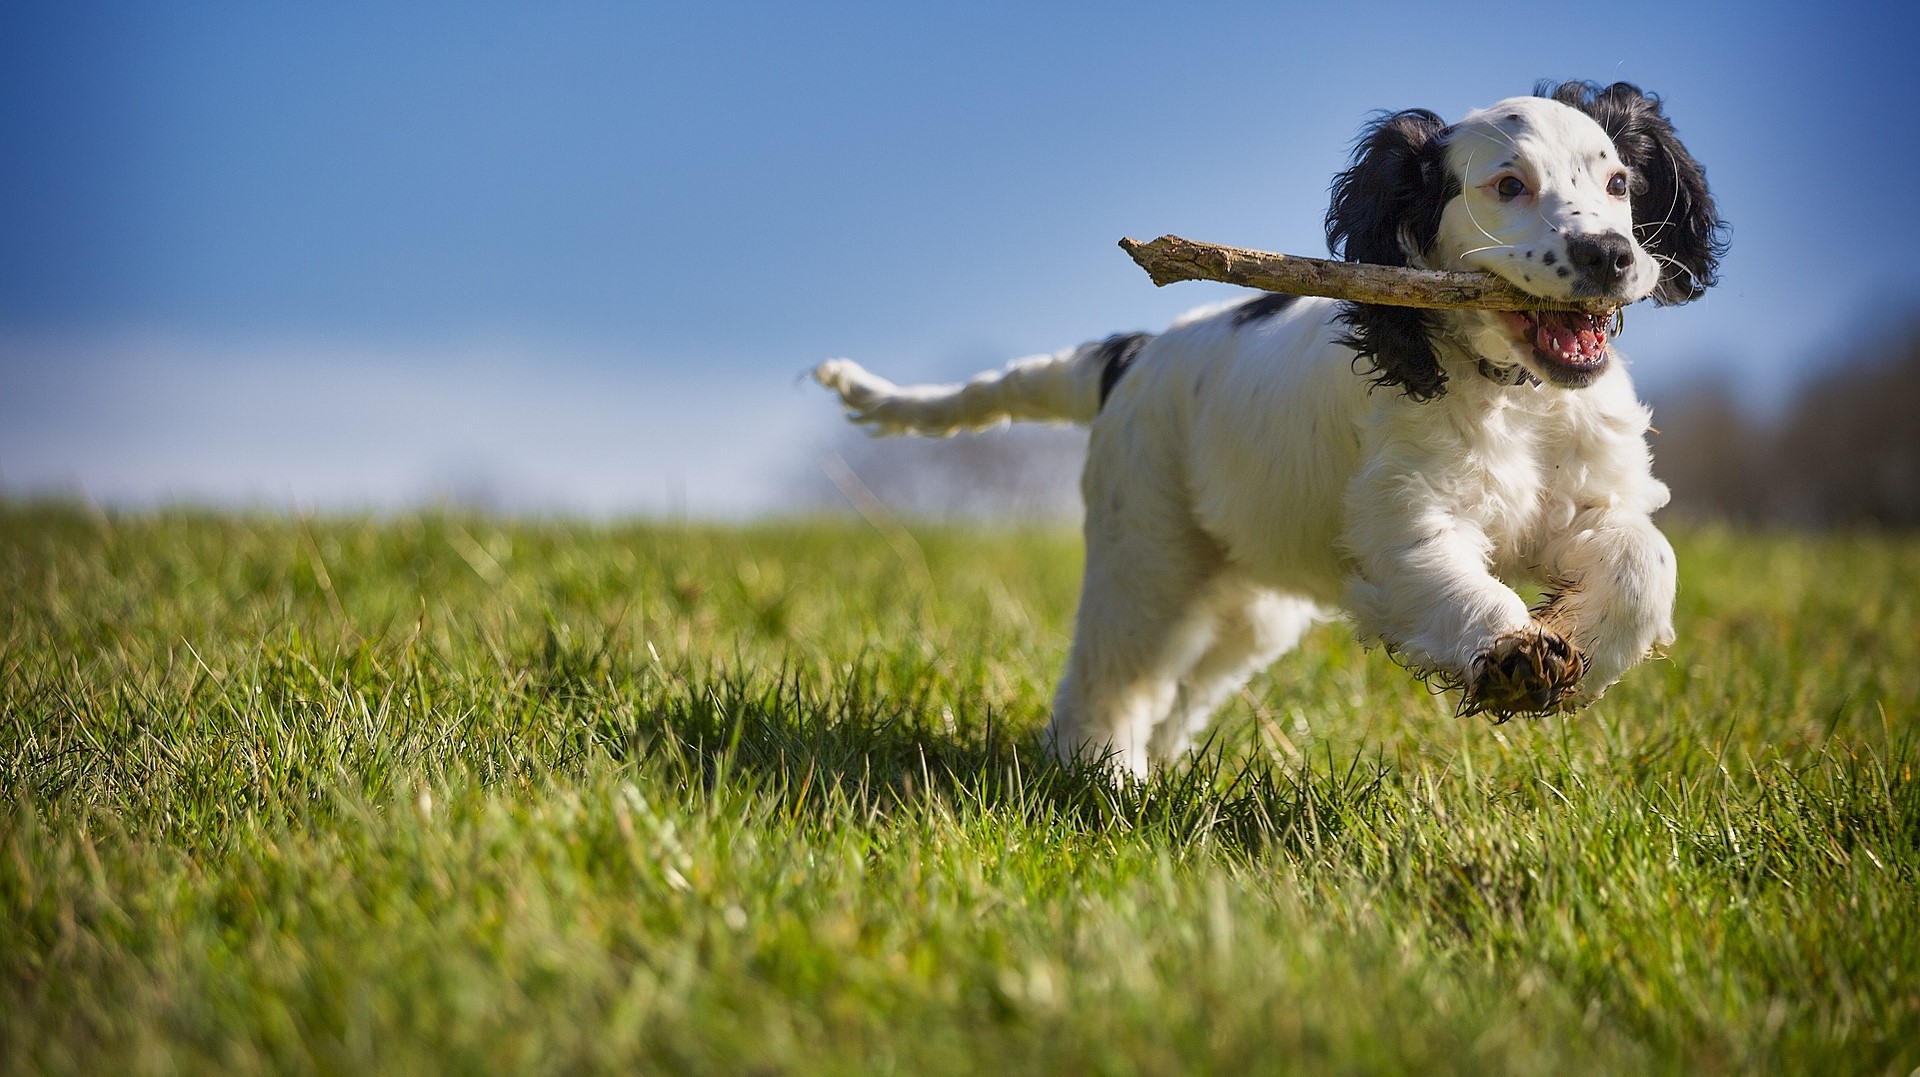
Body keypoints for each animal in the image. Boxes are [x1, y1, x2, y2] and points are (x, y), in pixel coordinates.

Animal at [810, 82, 1728, 771]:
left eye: (1618, 184)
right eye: (1508, 186)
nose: (1612, 256)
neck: (1514, 393)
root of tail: (1133, 352)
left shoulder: (1594, 499)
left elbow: (1648, 563)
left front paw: (1578, 644)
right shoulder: (1404, 521)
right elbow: (1456, 582)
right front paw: (1513, 656)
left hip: (1249, 605)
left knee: (1181, 690)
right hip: (1147, 554)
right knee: (1110, 677)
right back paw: (1102, 776)